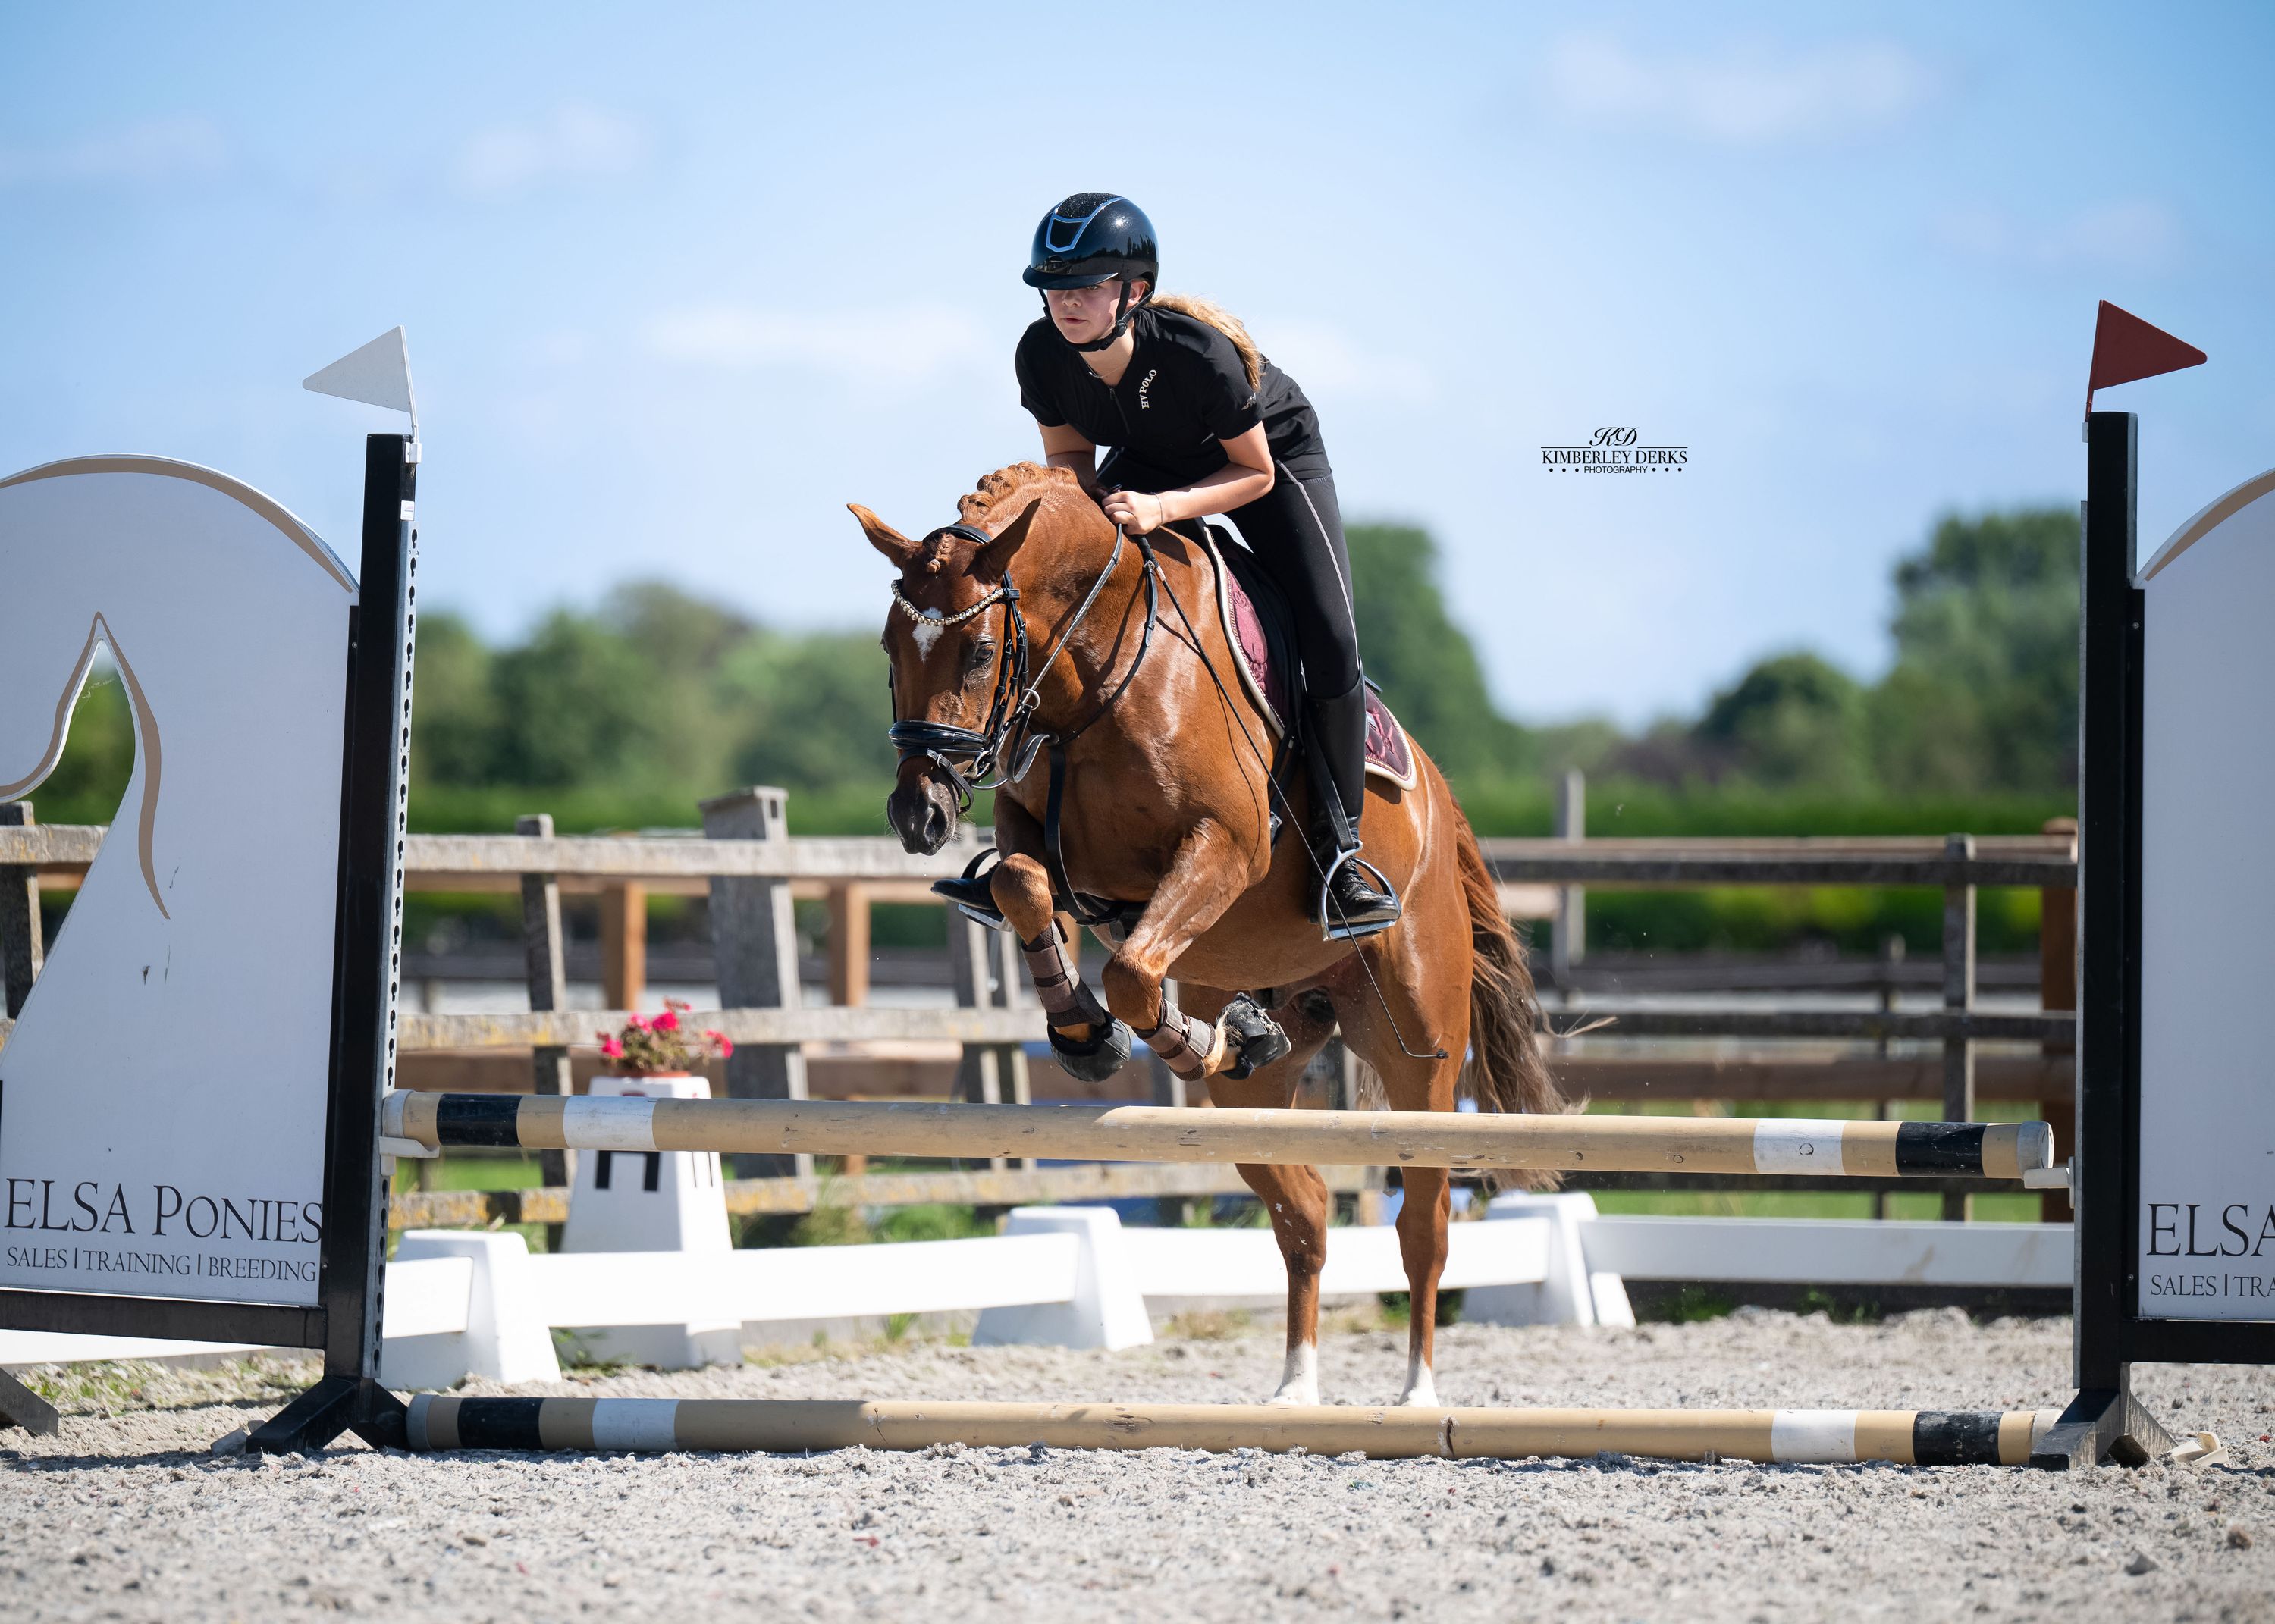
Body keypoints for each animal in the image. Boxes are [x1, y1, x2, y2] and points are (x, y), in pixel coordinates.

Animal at [855, 461, 1562, 1406]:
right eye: (890, 648)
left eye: (976, 652)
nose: (918, 813)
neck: (1094, 674)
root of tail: (1439, 804)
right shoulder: (1041, 840)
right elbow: (1021, 886)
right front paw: (1085, 1035)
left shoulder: (1222, 846)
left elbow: (1131, 972)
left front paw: (1170, 1036)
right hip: (1256, 1093)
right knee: (1302, 1212)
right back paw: (1295, 1381)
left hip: (1423, 1052)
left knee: (1425, 1221)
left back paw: (1416, 1392)